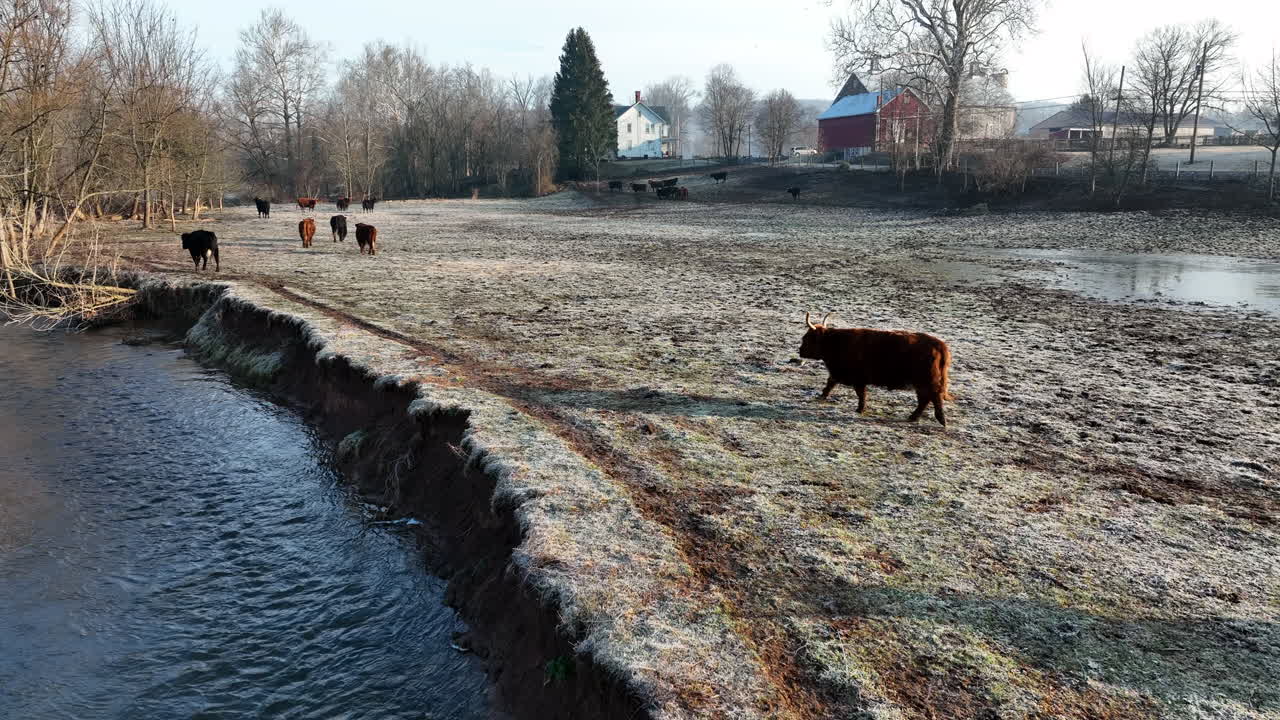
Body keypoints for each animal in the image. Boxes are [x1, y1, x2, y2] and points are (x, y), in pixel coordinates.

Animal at [797, 313, 951, 426]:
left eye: (807, 338)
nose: (800, 351)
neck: (835, 342)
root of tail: (939, 344)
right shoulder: (840, 374)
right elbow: (830, 383)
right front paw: (821, 396)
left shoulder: (857, 378)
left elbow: (860, 394)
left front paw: (860, 409)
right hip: (921, 383)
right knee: (925, 399)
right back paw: (914, 417)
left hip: (925, 382)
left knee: (932, 398)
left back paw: (938, 419)